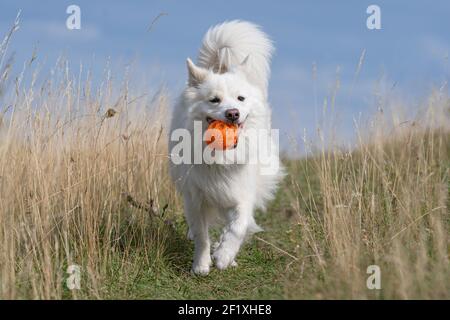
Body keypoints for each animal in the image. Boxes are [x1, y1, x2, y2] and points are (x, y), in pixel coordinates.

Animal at [167, 20, 284, 276]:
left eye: (240, 98)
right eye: (214, 100)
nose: (233, 114)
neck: (221, 158)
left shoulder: (242, 194)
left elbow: (238, 226)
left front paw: (223, 256)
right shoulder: (196, 198)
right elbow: (201, 234)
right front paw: (201, 265)